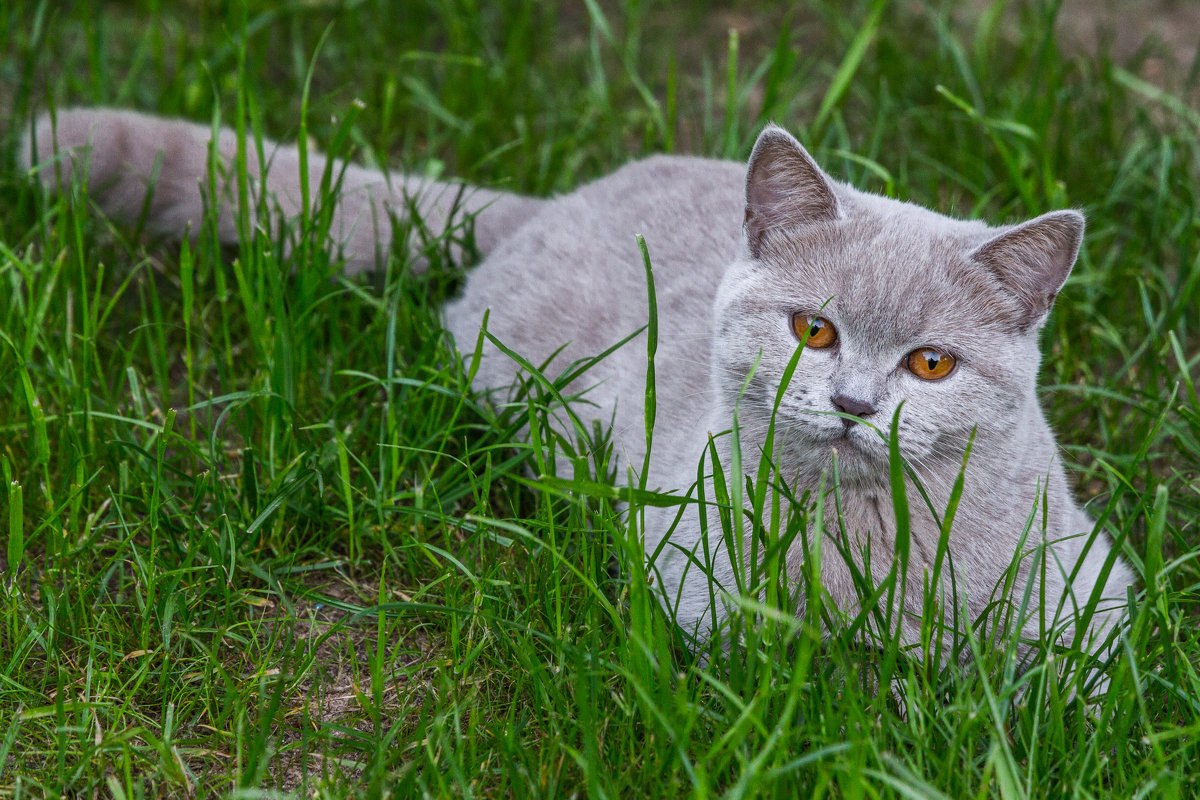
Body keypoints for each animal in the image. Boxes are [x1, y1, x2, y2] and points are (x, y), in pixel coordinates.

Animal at [18, 104, 1128, 671]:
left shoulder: (1096, 585)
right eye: (813, 331)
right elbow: (792, 664)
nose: (854, 404)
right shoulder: (696, 577)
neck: (869, 535)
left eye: (930, 363)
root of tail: (550, 201)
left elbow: (1065, 673)